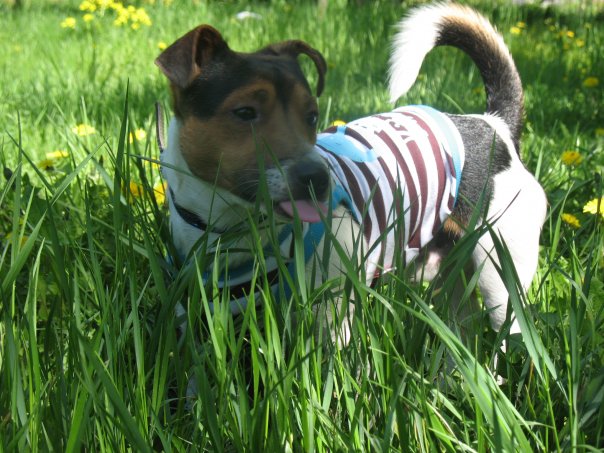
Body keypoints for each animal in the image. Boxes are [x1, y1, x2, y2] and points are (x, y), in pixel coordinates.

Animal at [155, 3, 547, 343]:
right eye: (244, 112)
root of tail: (493, 125)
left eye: (312, 115)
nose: (318, 177)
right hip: (451, 280)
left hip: (501, 280)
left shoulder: (332, 313)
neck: (235, 229)